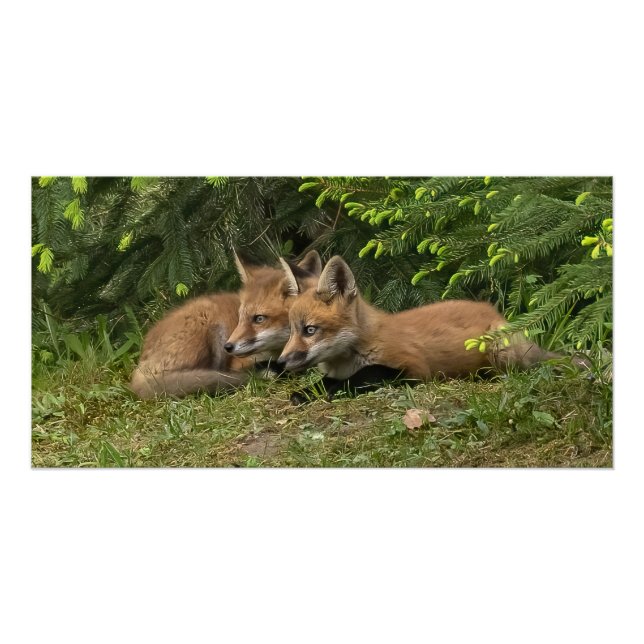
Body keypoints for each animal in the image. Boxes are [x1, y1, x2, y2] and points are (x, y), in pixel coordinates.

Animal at [278, 255, 576, 398]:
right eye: (292, 330)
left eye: (310, 330)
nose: (280, 362)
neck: (349, 357)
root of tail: (493, 310)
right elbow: (323, 382)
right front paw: (304, 393)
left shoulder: (415, 369)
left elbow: (367, 375)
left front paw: (335, 392)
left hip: (499, 353)